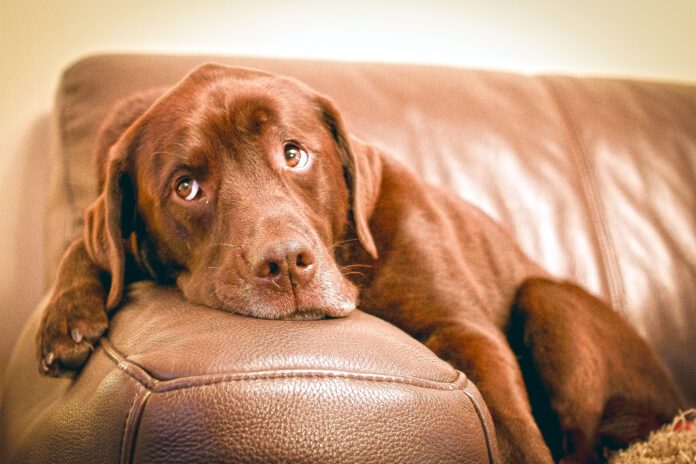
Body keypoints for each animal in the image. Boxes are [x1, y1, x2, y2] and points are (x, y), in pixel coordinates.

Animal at [35, 63, 684, 462]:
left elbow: (510, 423)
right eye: (186, 187)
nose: (286, 262)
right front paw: (65, 320)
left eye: (294, 154)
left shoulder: (466, 330)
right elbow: (87, 243)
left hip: (549, 299)